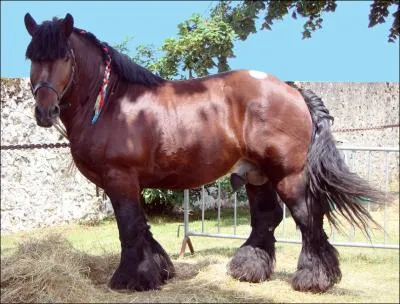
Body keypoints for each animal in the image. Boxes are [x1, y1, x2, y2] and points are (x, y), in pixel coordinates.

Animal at [22, 13, 384, 294]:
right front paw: (159, 271)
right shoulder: (130, 182)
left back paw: (313, 278)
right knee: (267, 217)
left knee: (307, 217)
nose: (44, 111)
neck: (113, 103)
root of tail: (292, 90)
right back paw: (248, 268)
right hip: (257, 173)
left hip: (288, 174)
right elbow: (142, 227)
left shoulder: (119, 177)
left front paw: (130, 279)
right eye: (32, 58)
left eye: (64, 57)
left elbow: (129, 227)